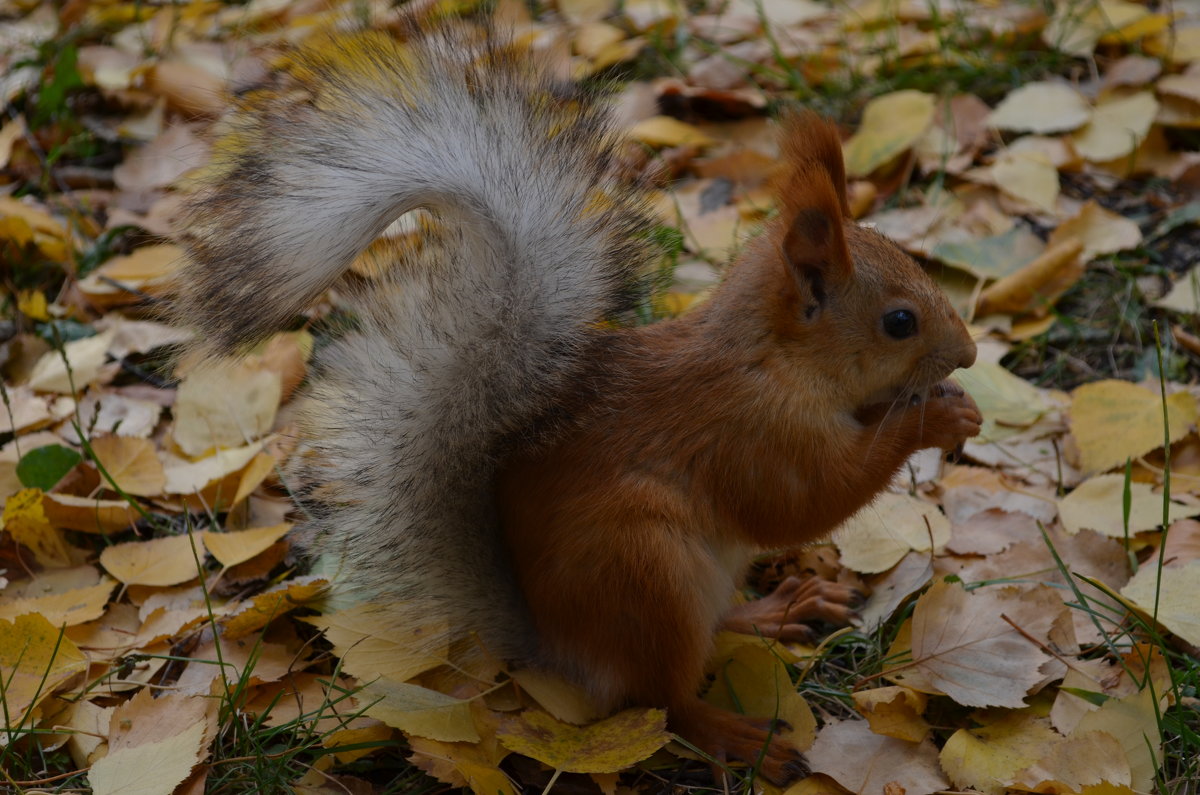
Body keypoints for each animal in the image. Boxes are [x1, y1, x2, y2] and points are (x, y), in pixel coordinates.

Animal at [174, 23, 984, 782]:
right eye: (900, 321)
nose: (971, 354)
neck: (775, 359)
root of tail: (557, 646)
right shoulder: (752, 433)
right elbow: (805, 502)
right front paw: (938, 416)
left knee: (709, 638)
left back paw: (777, 610)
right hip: (644, 570)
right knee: (660, 699)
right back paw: (733, 733)